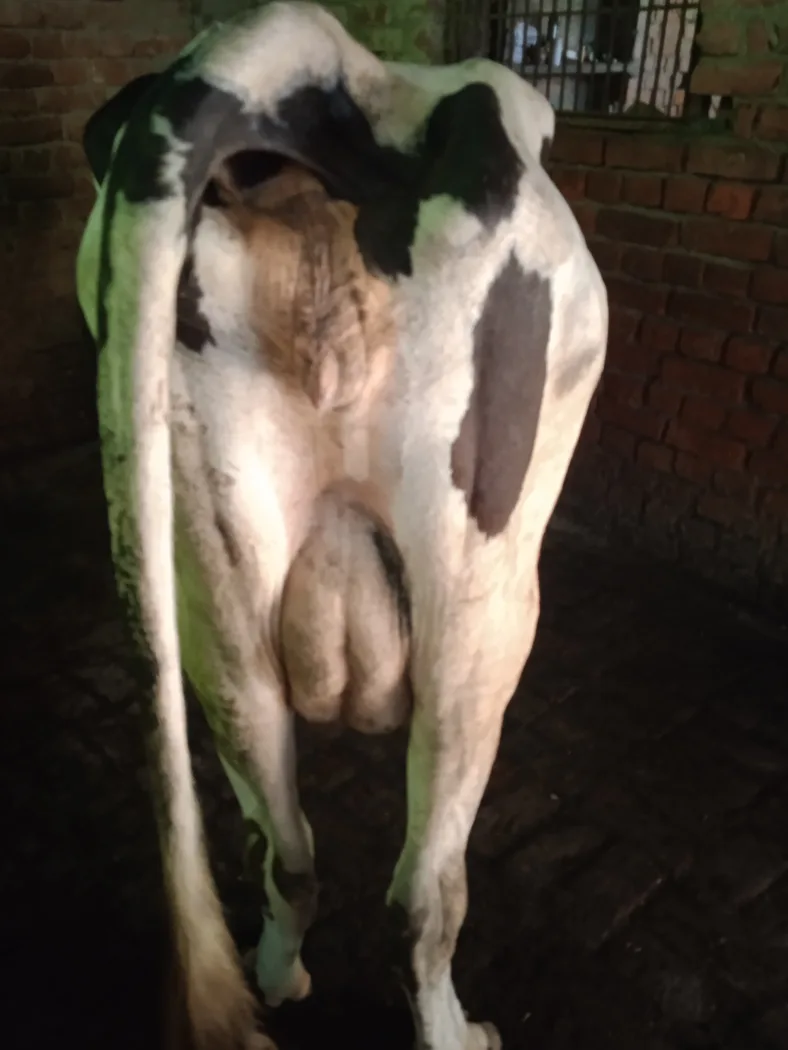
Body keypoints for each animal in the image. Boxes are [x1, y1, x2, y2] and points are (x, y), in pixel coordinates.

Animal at [75, 4, 607, 1049]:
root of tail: (305, 53)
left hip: (214, 596)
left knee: (282, 847)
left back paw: (277, 980)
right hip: (484, 607)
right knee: (422, 895)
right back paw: (457, 1029)